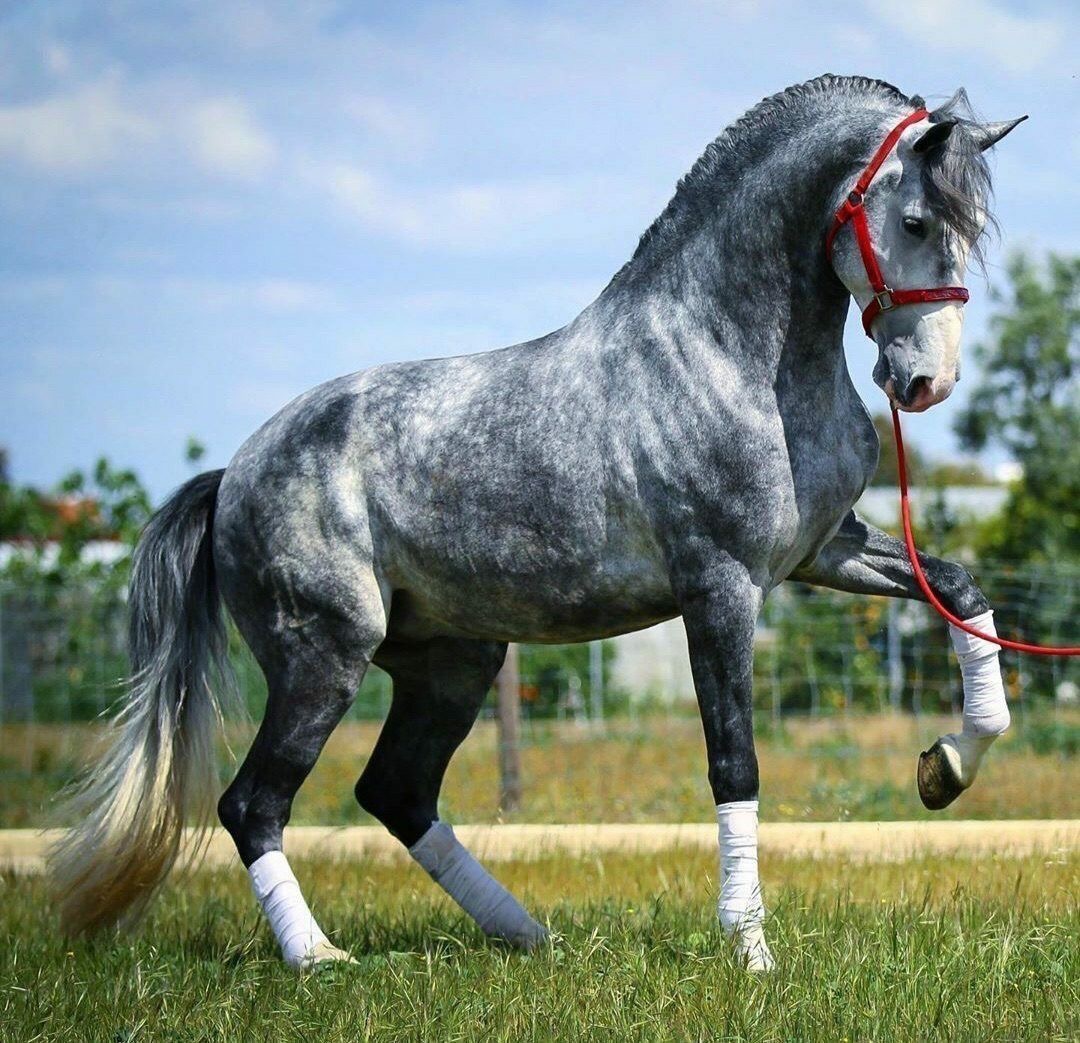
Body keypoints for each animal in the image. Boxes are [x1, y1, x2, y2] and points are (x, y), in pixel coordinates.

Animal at [49, 74, 1025, 972]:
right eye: (913, 222)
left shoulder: (824, 550)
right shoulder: (720, 586)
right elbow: (734, 762)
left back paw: (526, 936)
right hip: (323, 652)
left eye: (971, 227)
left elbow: (965, 593)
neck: (729, 353)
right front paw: (750, 950)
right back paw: (319, 956)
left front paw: (948, 764)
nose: (925, 382)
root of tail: (233, 476)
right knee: (254, 803)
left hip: (451, 661)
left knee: (395, 791)